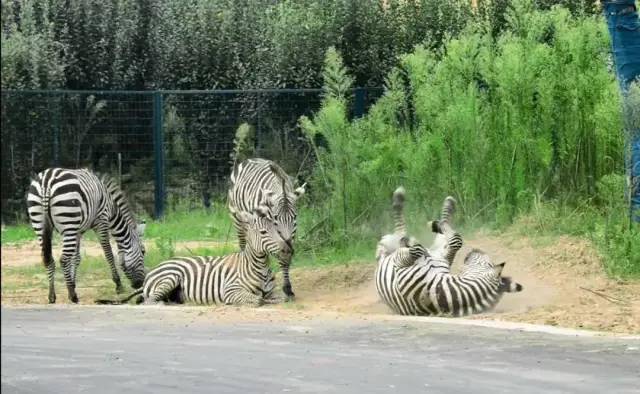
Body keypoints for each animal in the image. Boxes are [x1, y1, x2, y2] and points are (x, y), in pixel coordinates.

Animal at [26, 168, 146, 304]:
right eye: (143, 251)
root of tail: (47, 180)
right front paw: (118, 285)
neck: (111, 209)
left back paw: (52, 296)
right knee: (63, 259)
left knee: (48, 259)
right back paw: (73, 296)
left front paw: (72, 284)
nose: (140, 284)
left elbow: (76, 258)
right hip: (68, 222)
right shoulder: (101, 222)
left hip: (40, 222)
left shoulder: (78, 231)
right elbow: (109, 254)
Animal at [97, 195, 290, 306]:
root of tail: (152, 272)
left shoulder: (273, 291)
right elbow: (258, 299)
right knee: (150, 301)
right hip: (170, 277)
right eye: (264, 232)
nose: (287, 249)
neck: (260, 267)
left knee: (147, 299)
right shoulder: (230, 289)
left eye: (277, 228)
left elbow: (283, 297)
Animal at [228, 159, 304, 300]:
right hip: (238, 221)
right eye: (276, 218)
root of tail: (251, 159)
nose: (289, 249)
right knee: (243, 245)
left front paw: (288, 288)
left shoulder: (290, 236)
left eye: (294, 217)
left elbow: (283, 260)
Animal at [372, 188, 524, 318]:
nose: (476, 250)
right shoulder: (442, 259)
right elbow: (455, 242)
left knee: (395, 236)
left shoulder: (401, 269)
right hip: (434, 250)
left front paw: (412, 241)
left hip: (392, 251)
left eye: (489, 263)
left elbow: (422, 248)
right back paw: (447, 207)